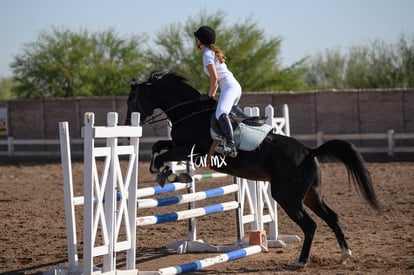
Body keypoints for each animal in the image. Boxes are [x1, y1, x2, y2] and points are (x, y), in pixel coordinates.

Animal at [126, 71, 382, 270]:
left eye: (132, 101)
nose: (129, 128)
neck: (188, 112)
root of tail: (310, 151)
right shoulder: (180, 147)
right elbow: (159, 146)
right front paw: (168, 173)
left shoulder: (191, 151)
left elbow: (162, 153)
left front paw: (166, 173)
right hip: (310, 196)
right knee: (331, 217)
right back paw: (344, 255)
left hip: (287, 197)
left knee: (310, 225)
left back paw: (300, 262)